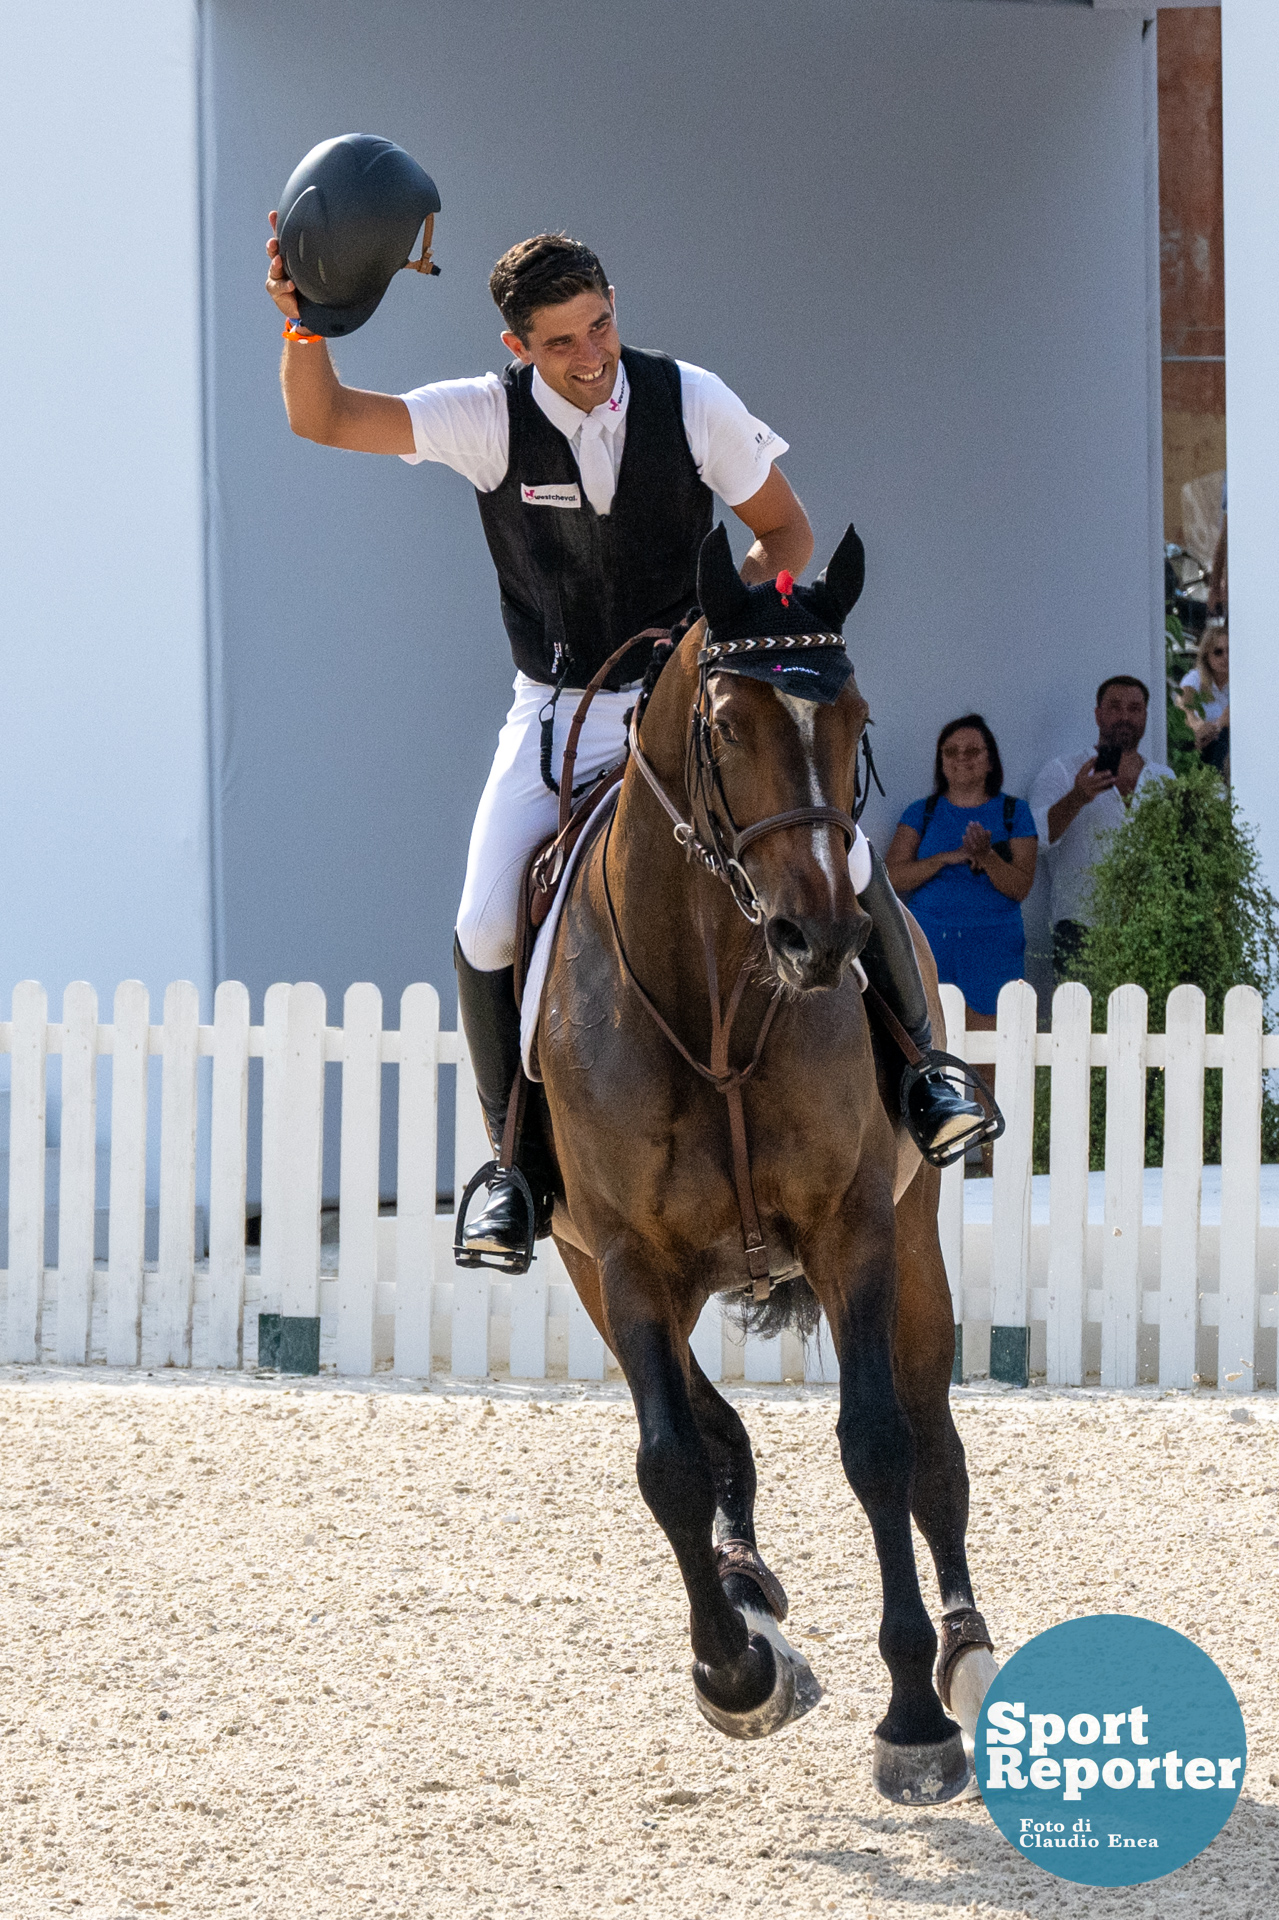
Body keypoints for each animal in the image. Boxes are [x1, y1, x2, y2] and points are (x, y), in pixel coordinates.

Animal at [526, 526, 998, 1797]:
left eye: (855, 720)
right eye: (727, 726)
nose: (822, 938)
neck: (715, 996)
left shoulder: (853, 1231)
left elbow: (879, 1448)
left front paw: (911, 1719)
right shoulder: (624, 1262)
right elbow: (670, 1465)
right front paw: (734, 1672)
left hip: (915, 1241)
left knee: (934, 1445)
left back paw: (964, 1654)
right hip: (599, 1274)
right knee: (709, 1428)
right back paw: (742, 1586)